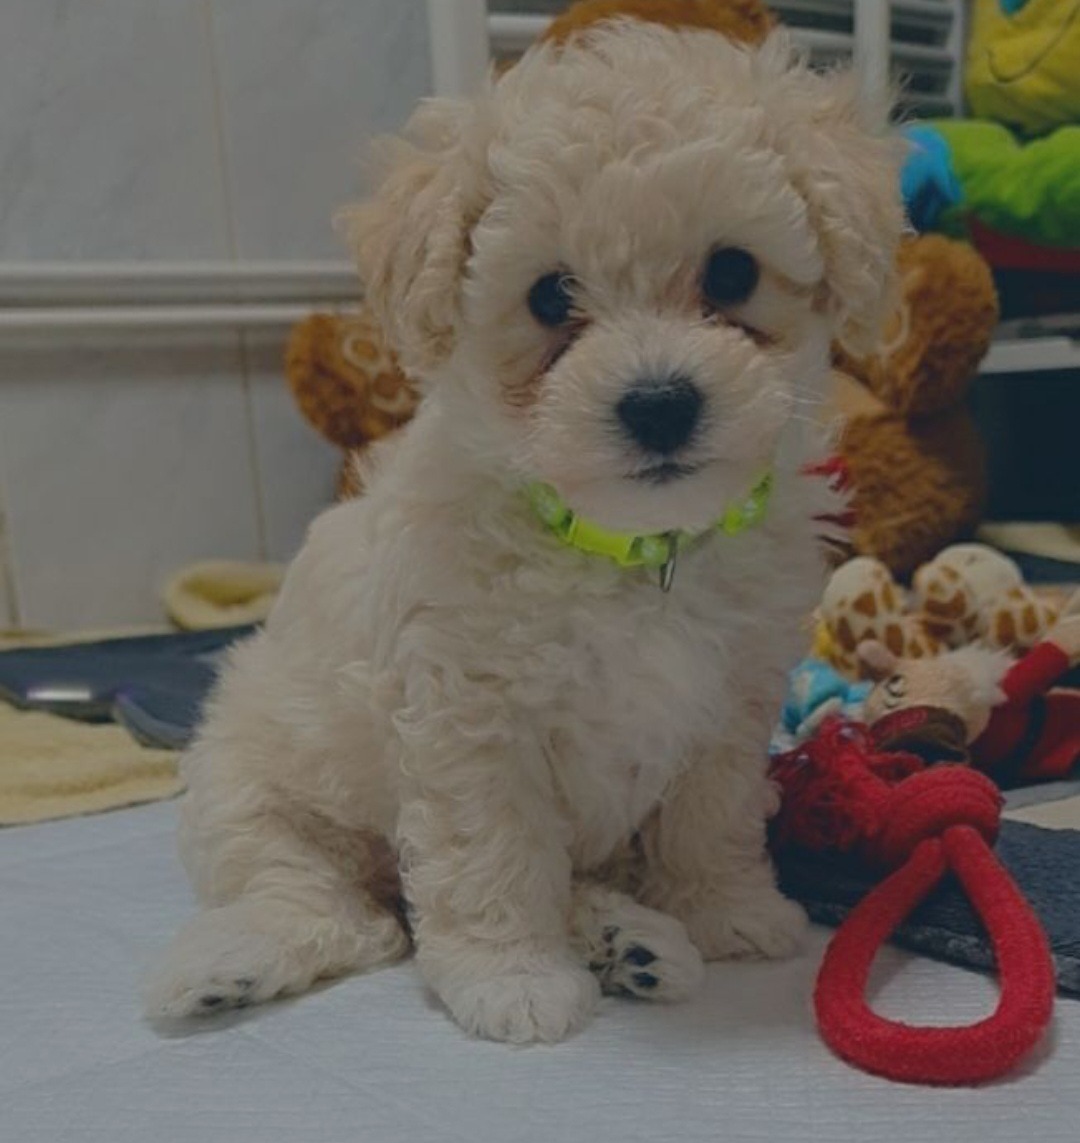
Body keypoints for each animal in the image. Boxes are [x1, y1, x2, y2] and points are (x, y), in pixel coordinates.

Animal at [145, 17, 902, 1043]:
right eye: (548, 296)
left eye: (733, 271)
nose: (660, 404)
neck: (627, 546)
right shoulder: (470, 719)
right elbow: (493, 854)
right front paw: (512, 978)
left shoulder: (731, 703)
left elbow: (712, 813)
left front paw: (727, 908)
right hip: (242, 781)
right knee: (329, 904)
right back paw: (230, 964)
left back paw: (634, 939)